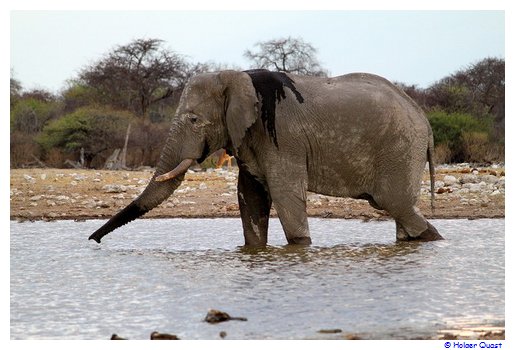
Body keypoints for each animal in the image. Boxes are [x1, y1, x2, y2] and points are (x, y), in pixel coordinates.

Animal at [89, 68, 444, 246]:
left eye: (193, 120)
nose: (93, 240)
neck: (235, 76)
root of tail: (425, 122)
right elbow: (250, 196)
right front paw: (255, 252)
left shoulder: (282, 135)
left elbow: (285, 195)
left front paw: (299, 248)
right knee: (401, 211)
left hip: (399, 149)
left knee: (393, 203)